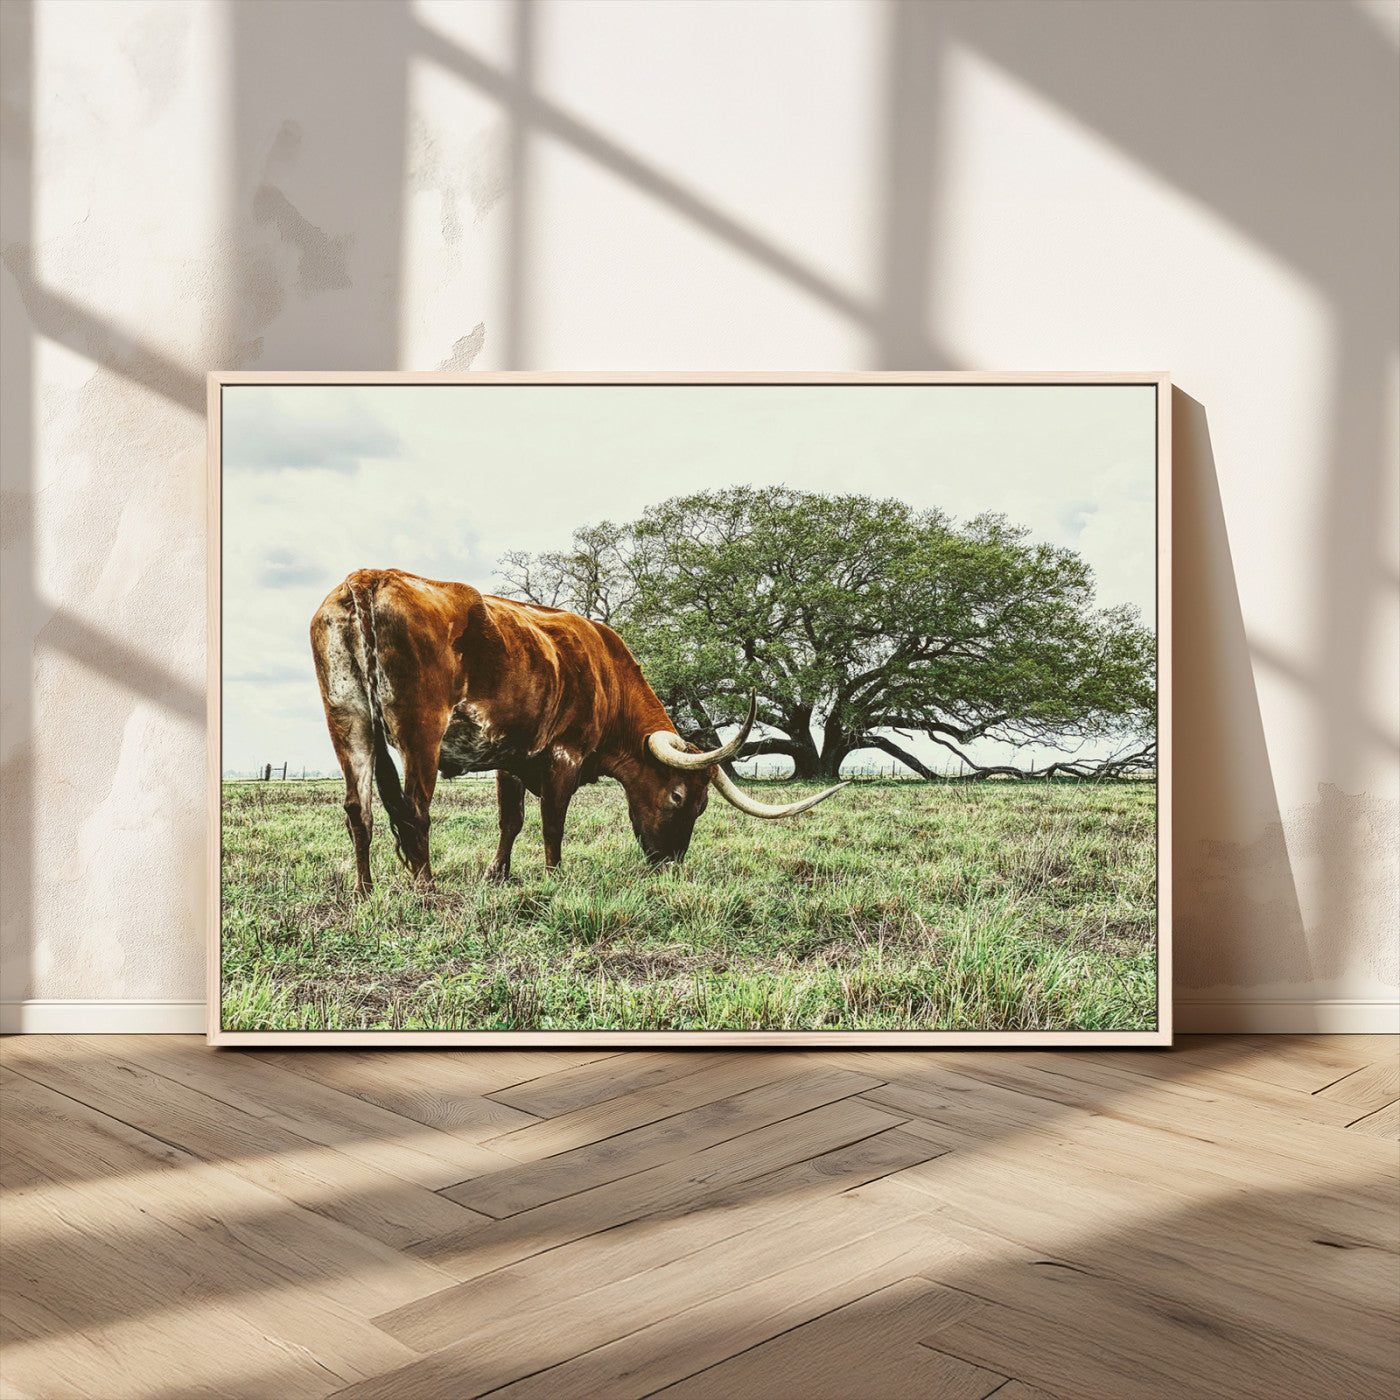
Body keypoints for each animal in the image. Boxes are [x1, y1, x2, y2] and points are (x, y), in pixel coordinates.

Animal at [310, 568, 847, 893]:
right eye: (680, 798)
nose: (669, 864)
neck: (606, 673)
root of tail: (368, 578)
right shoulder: (564, 754)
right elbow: (553, 821)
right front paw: (553, 877)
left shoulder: (509, 757)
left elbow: (510, 821)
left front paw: (498, 875)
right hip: (421, 729)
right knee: (415, 808)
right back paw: (426, 888)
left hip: (348, 723)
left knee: (359, 809)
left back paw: (364, 891)